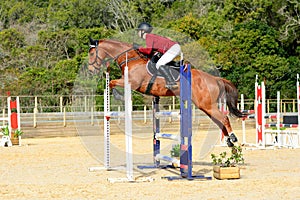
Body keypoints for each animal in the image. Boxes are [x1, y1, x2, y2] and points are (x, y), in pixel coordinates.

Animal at [86, 38, 246, 147]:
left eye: (92, 53)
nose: (90, 71)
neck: (131, 59)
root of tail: (214, 78)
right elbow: (111, 82)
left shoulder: (133, 82)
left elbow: (112, 82)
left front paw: (119, 96)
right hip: (205, 106)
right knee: (219, 121)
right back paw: (229, 141)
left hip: (206, 104)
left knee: (224, 118)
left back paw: (233, 137)